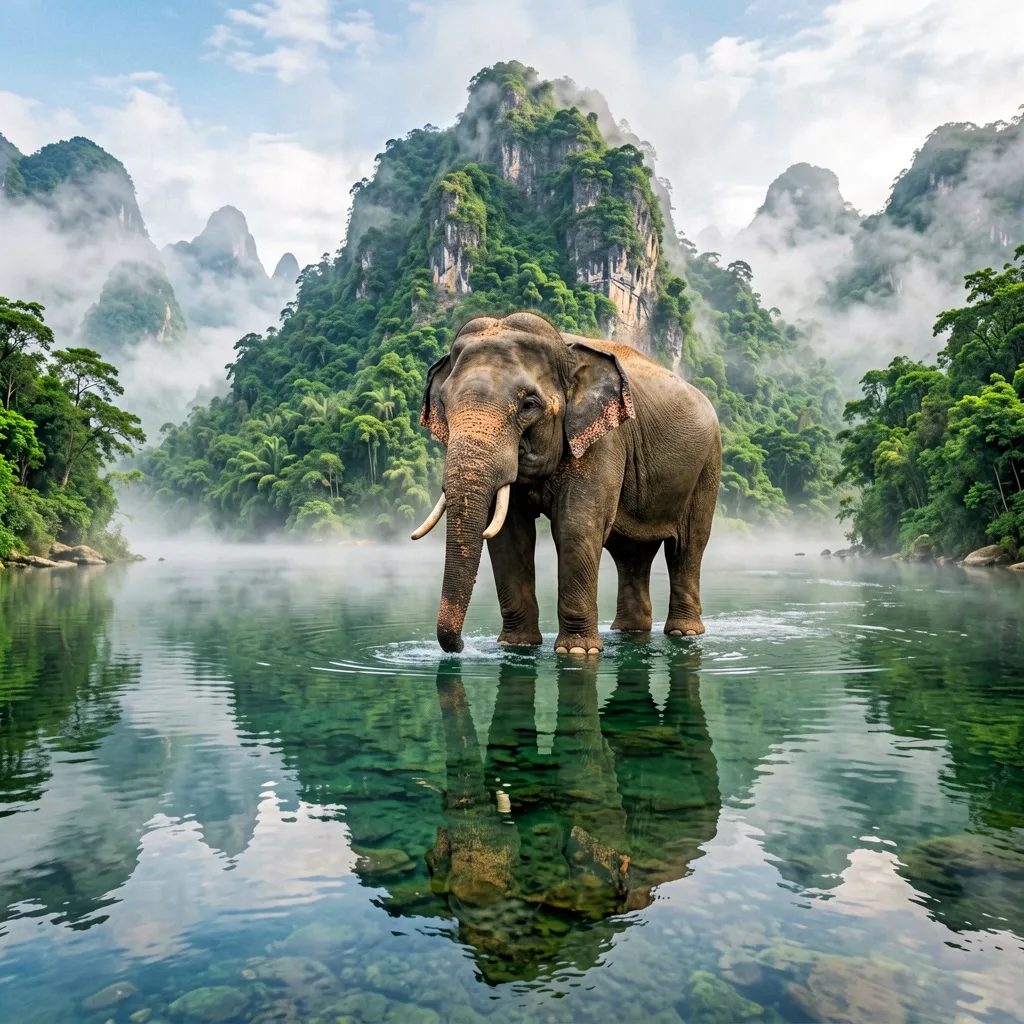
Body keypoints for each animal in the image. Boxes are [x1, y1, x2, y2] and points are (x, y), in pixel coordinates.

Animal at [411, 311, 722, 655]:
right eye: (443, 404)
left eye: (529, 404)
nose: (461, 645)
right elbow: (509, 535)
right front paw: (517, 646)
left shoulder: (604, 440)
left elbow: (575, 526)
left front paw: (577, 652)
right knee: (631, 555)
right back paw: (629, 631)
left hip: (708, 464)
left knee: (687, 546)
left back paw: (684, 632)